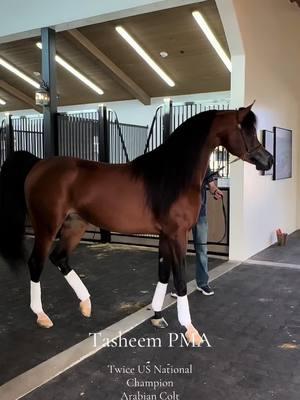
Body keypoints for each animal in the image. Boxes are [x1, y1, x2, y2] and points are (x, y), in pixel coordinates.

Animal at [0, 104, 272, 346]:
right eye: (247, 130)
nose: (267, 161)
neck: (172, 175)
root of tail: (38, 164)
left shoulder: (165, 235)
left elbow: (163, 273)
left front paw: (157, 316)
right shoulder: (177, 235)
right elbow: (180, 281)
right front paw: (190, 330)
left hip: (75, 225)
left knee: (60, 258)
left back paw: (86, 304)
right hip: (47, 226)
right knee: (36, 263)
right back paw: (42, 315)